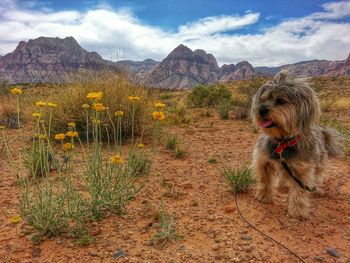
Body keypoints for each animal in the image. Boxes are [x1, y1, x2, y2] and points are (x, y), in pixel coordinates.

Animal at [250, 71, 344, 220]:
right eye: (262, 100)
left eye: (281, 101)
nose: (261, 110)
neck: (282, 143)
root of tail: (322, 131)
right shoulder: (263, 161)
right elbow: (265, 180)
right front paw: (264, 196)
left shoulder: (302, 170)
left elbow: (300, 192)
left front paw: (298, 210)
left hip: (318, 163)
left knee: (317, 177)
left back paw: (316, 189)